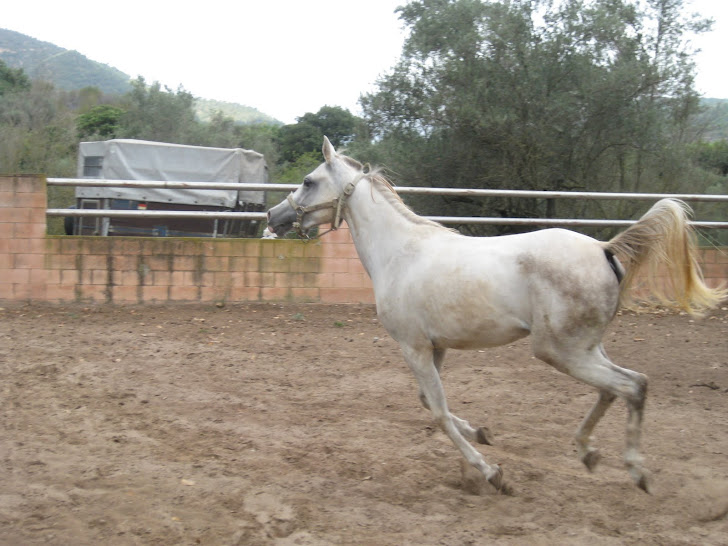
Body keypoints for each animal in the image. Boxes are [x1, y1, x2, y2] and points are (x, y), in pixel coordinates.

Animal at [266, 136, 724, 492]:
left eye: (308, 181)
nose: (274, 217)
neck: (399, 253)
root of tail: (604, 248)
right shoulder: (435, 347)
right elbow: (430, 402)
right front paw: (482, 434)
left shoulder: (414, 347)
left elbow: (437, 410)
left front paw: (490, 472)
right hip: (586, 347)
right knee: (618, 388)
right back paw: (588, 453)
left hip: (561, 351)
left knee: (632, 386)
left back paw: (635, 471)